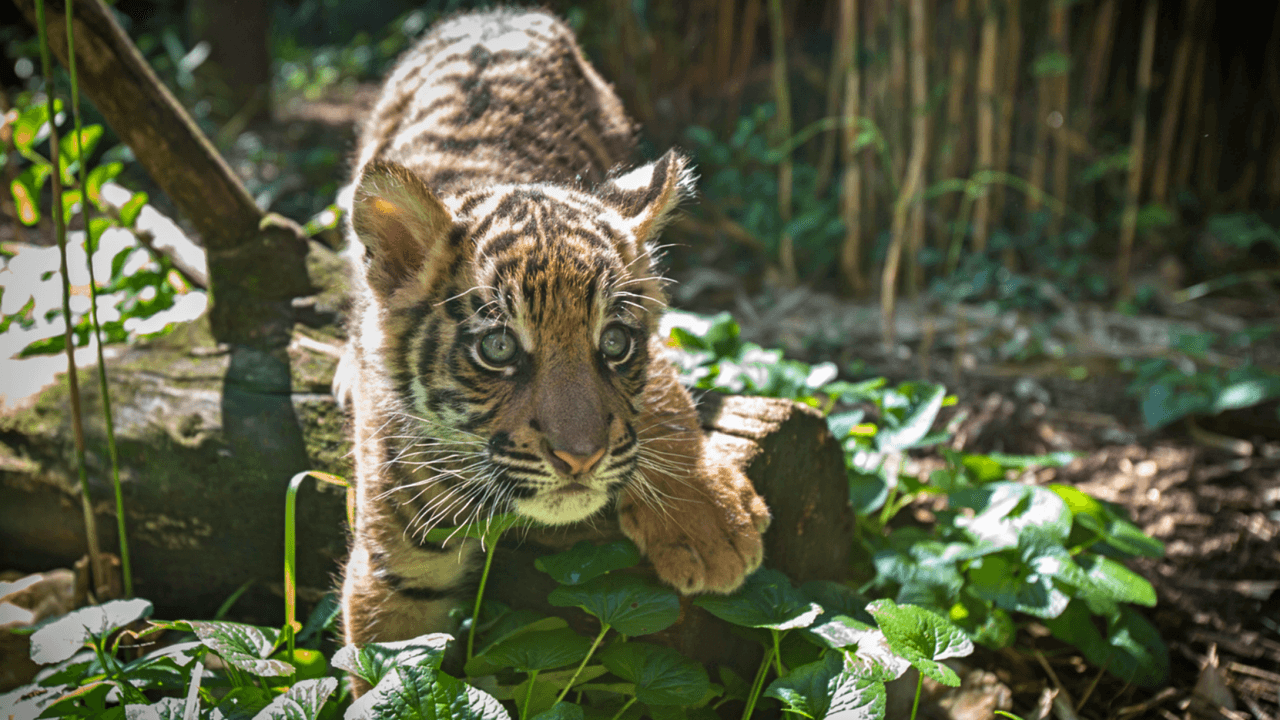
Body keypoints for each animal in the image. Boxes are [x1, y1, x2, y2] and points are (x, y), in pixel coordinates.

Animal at [333, 7, 771, 673]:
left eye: (614, 344)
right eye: (499, 349)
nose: (580, 459)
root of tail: (502, 14)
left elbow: (664, 395)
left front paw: (708, 522)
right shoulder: (390, 577)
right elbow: (391, 678)